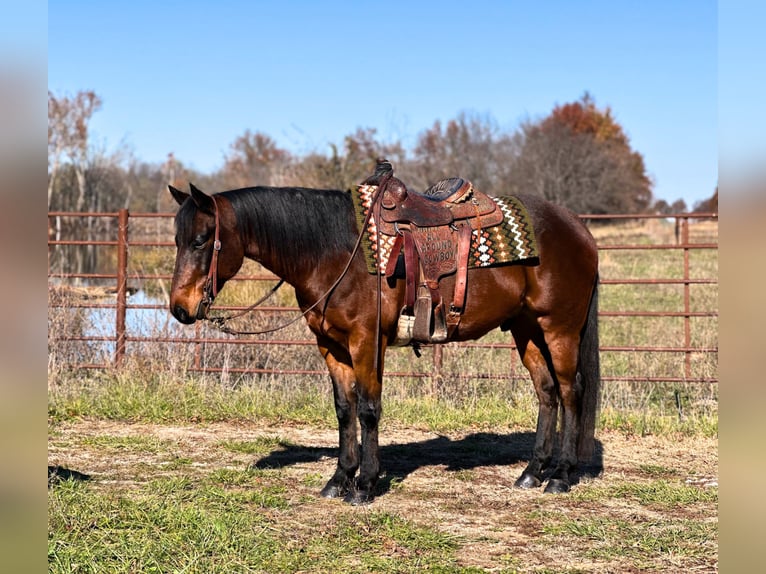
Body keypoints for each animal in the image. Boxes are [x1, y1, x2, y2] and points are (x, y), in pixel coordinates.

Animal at [166, 174, 600, 504]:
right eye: (176, 239)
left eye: (201, 239)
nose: (180, 308)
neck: (334, 252)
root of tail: (578, 227)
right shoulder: (331, 346)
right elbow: (344, 410)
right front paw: (339, 479)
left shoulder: (366, 342)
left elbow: (369, 409)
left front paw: (365, 485)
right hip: (527, 330)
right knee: (546, 392)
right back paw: (532, 472)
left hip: (559, 329)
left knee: (570, 391)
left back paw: (561, 475)